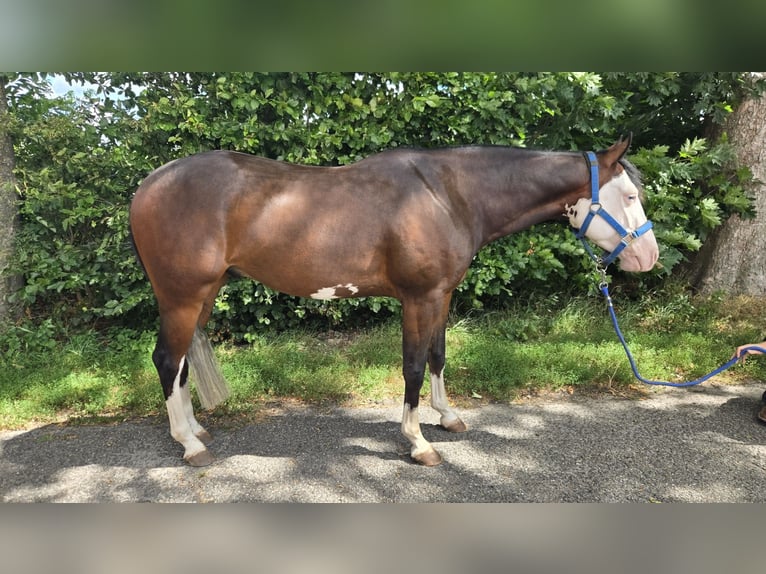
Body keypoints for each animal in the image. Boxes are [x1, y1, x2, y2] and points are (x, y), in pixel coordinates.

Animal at [129, 135, 659, 467]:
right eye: (631, 195)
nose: (650, 256)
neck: (448, 195)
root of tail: (149, 184)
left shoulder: (442, 295)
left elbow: (439, 357)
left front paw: (448, 417)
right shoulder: (419, 299)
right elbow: (414, 366)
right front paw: (418, 443)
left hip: (202, 293)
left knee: (180, 363)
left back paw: (196, 431)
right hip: (182, 295)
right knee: (166, 360)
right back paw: (189, 446)